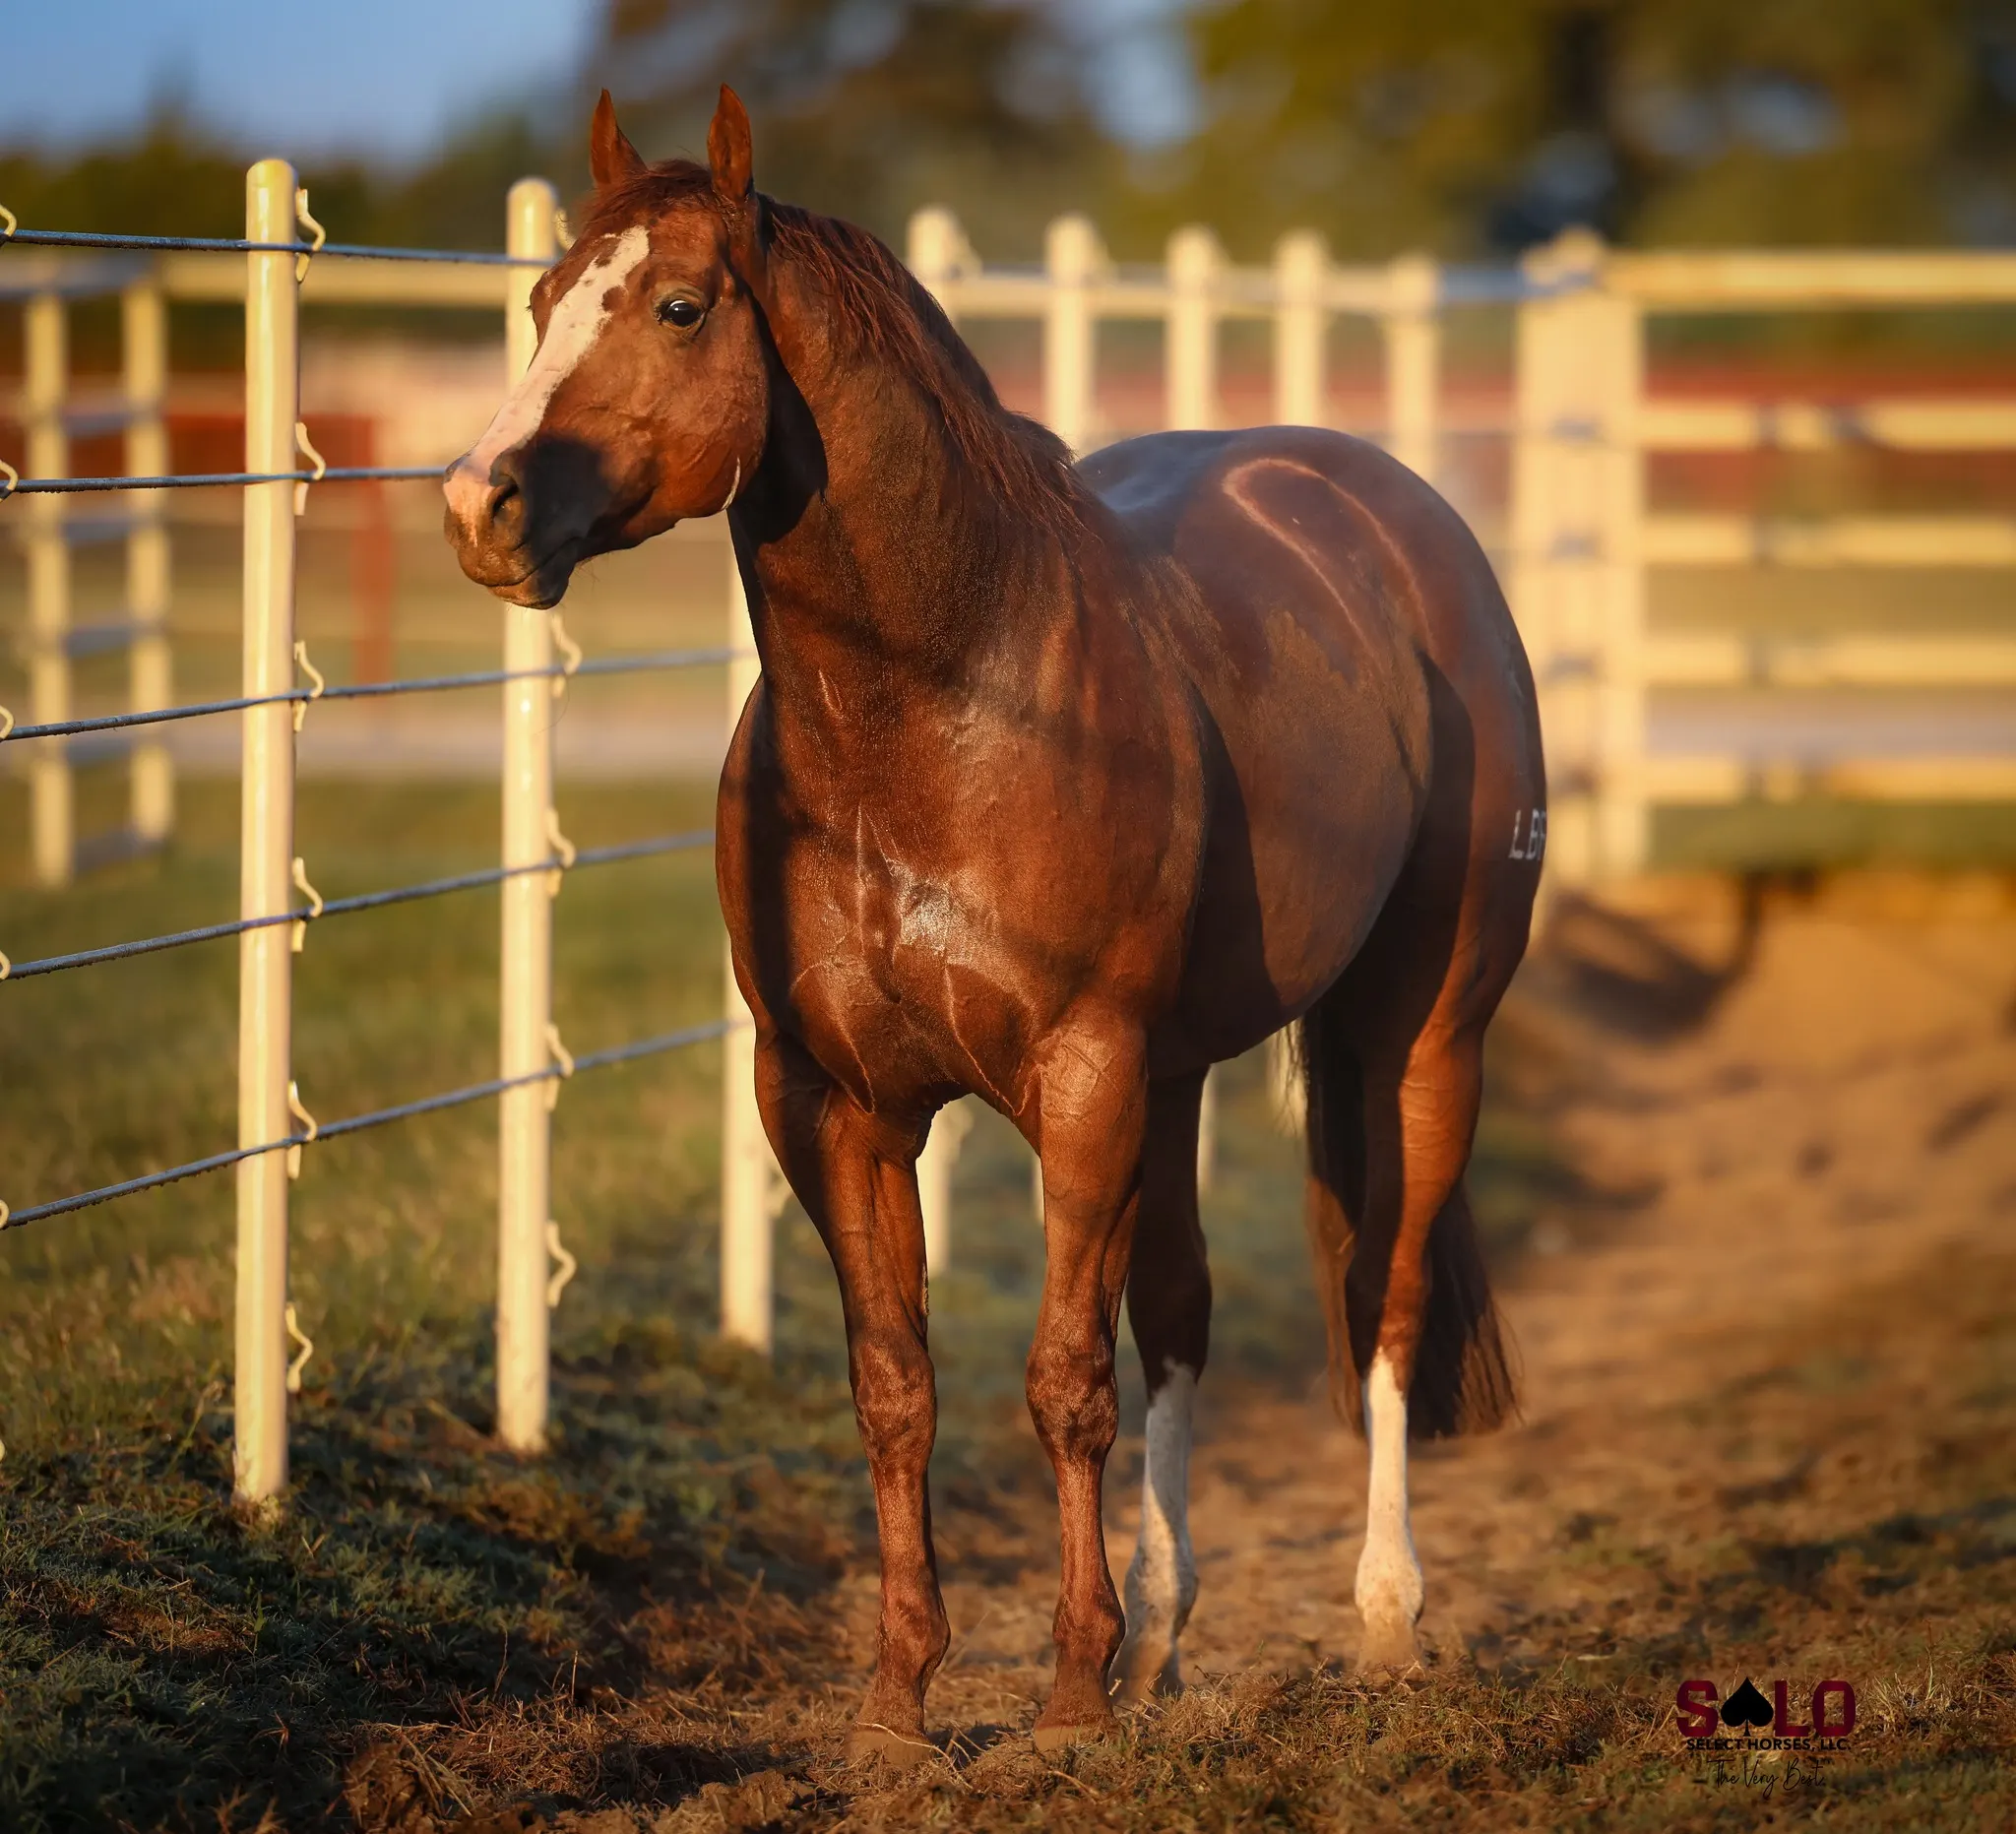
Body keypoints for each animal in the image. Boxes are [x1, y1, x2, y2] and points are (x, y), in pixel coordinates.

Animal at [445, 87, 1542, 1759]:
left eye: (682, 305)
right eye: (542, 301)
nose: (478, 505)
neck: (950, 700)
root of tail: (1396, 512)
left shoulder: (1082, 1079)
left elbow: (1064, 1377)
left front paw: (1072, 1693)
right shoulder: (833, 1100)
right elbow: (898, 1381)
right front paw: (905, 1694)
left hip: (1419, 1034)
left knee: (1388, 1299)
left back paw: (1383, 1614)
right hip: (1182, 1076)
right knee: (1186, 1310)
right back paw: (1169, 1635)